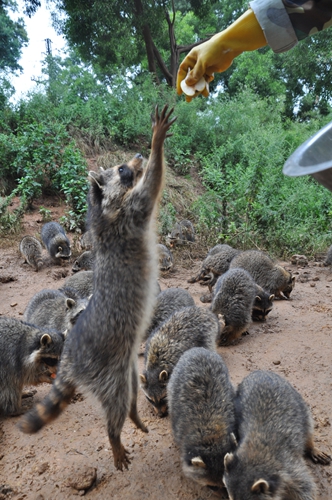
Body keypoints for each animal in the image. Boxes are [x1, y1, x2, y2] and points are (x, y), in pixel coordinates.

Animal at [222, 372, 330, 500]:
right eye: (230, 497)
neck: (255, 455)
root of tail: (260, 371)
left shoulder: (292, 470)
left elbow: (307, 489)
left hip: (300, 404)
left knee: (308, 429)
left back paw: (312, 447)